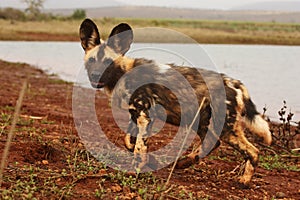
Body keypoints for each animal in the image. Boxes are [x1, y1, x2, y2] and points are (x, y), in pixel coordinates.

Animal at [79, 18, 272, 186]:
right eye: (92, 61)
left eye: (108, 63)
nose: (95, 75)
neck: (124, 72)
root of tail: (235, 83)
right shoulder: (136, 115)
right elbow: (128, 141)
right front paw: (151, 160)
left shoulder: (144, 117)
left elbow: (139, 148)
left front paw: (137, 168)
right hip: (207, 123)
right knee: (223, 145)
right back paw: (189, 163)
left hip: (223, 127)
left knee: (246, 150)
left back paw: (239, 179)